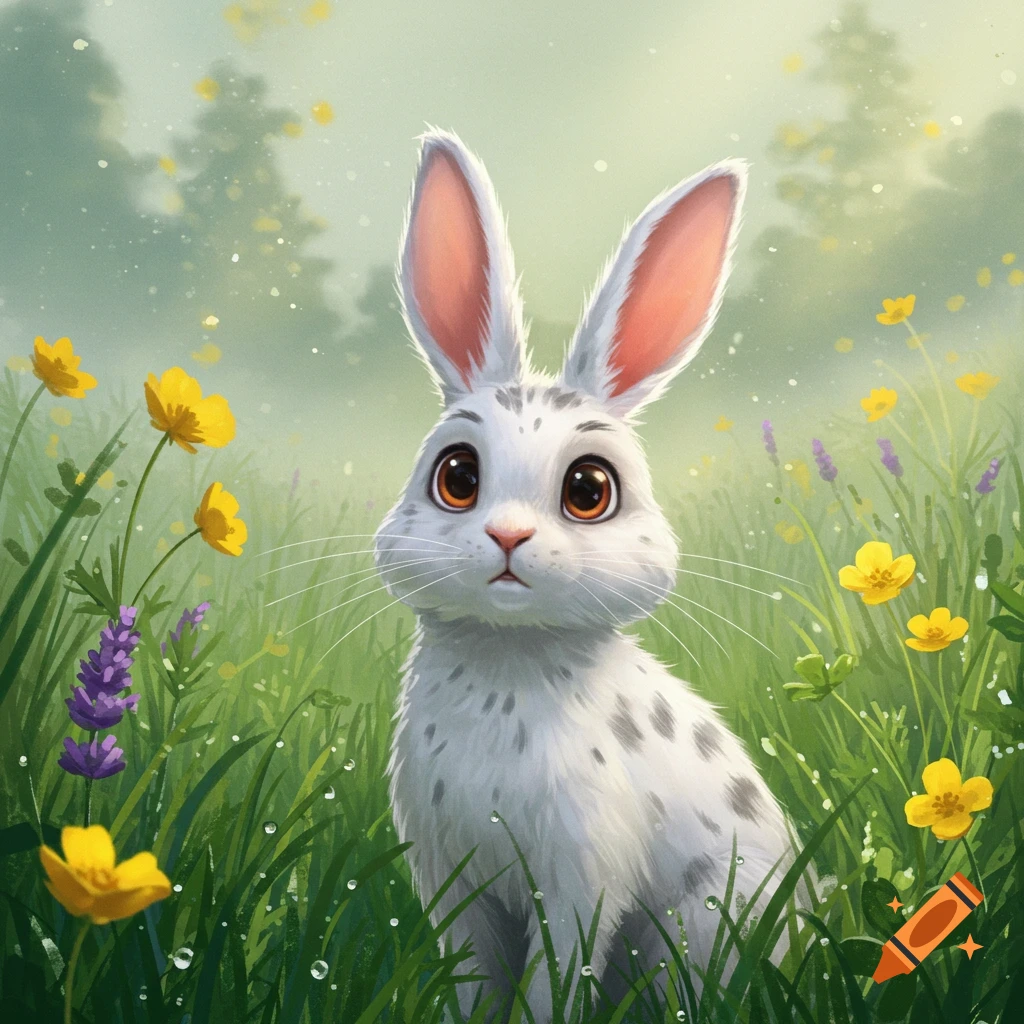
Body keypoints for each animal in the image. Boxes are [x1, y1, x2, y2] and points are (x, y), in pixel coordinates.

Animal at [375, 130, 799, 1022]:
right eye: (456, 475)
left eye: (589, 490)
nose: (507, 536)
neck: (507, 666)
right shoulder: (450, 880)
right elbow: (471, 975)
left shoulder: (580, 876)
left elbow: (555, 977)